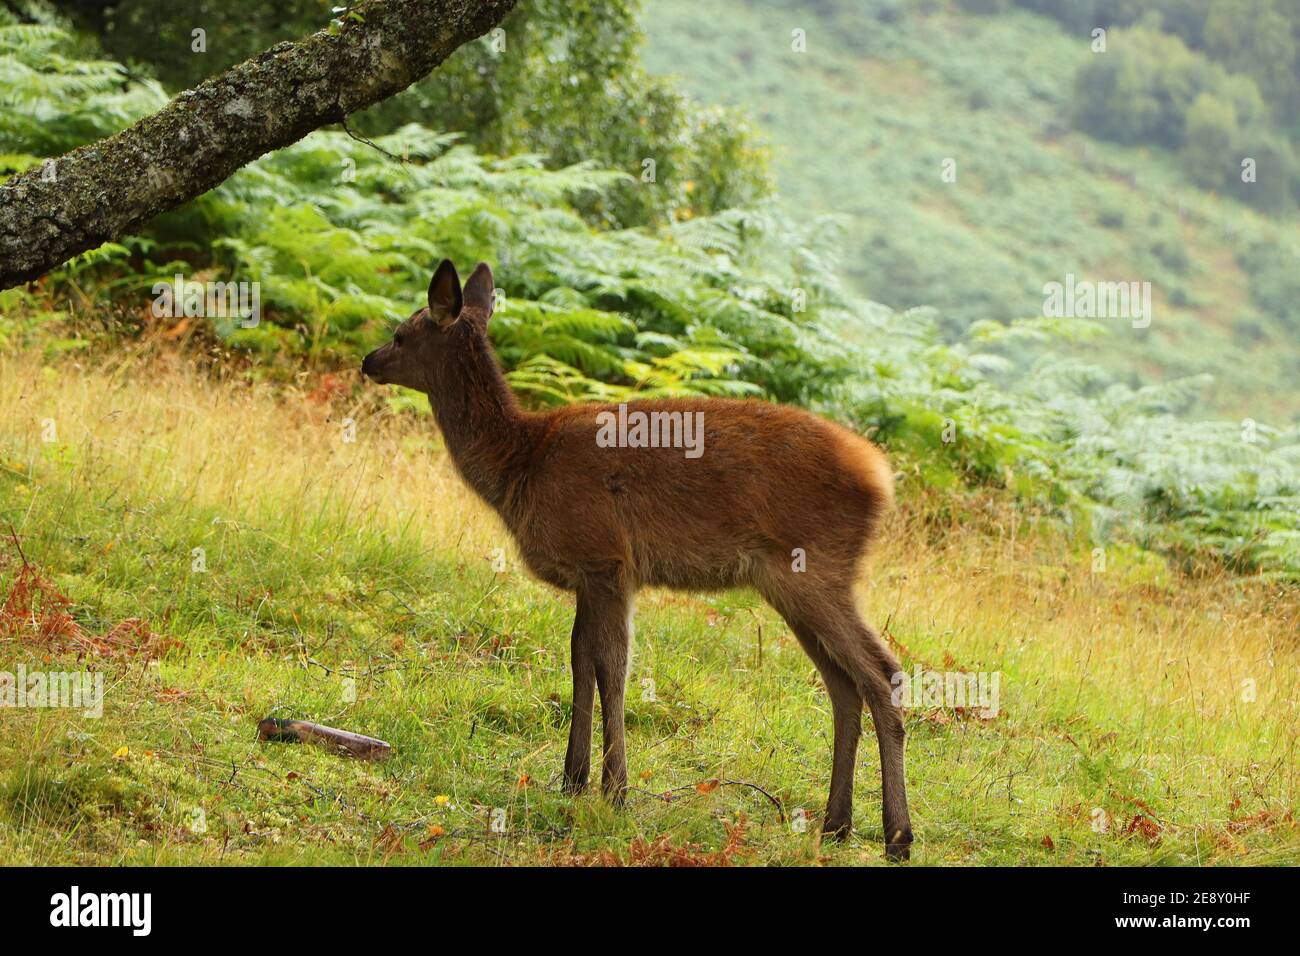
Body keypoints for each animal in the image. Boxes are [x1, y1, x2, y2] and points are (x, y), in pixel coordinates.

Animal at [362, 260, 913, 860]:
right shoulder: (588, 575)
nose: (369, 361)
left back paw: (898, 836)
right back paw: (835, 824)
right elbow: (579, 659)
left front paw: (615, 789)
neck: (519, 464)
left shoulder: (607, 560)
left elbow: (612, 668)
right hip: (792, 585)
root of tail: (879, 479)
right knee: (843, 686)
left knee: (883, 673)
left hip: (817, 568)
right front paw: (573, 779)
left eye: (402, 332)